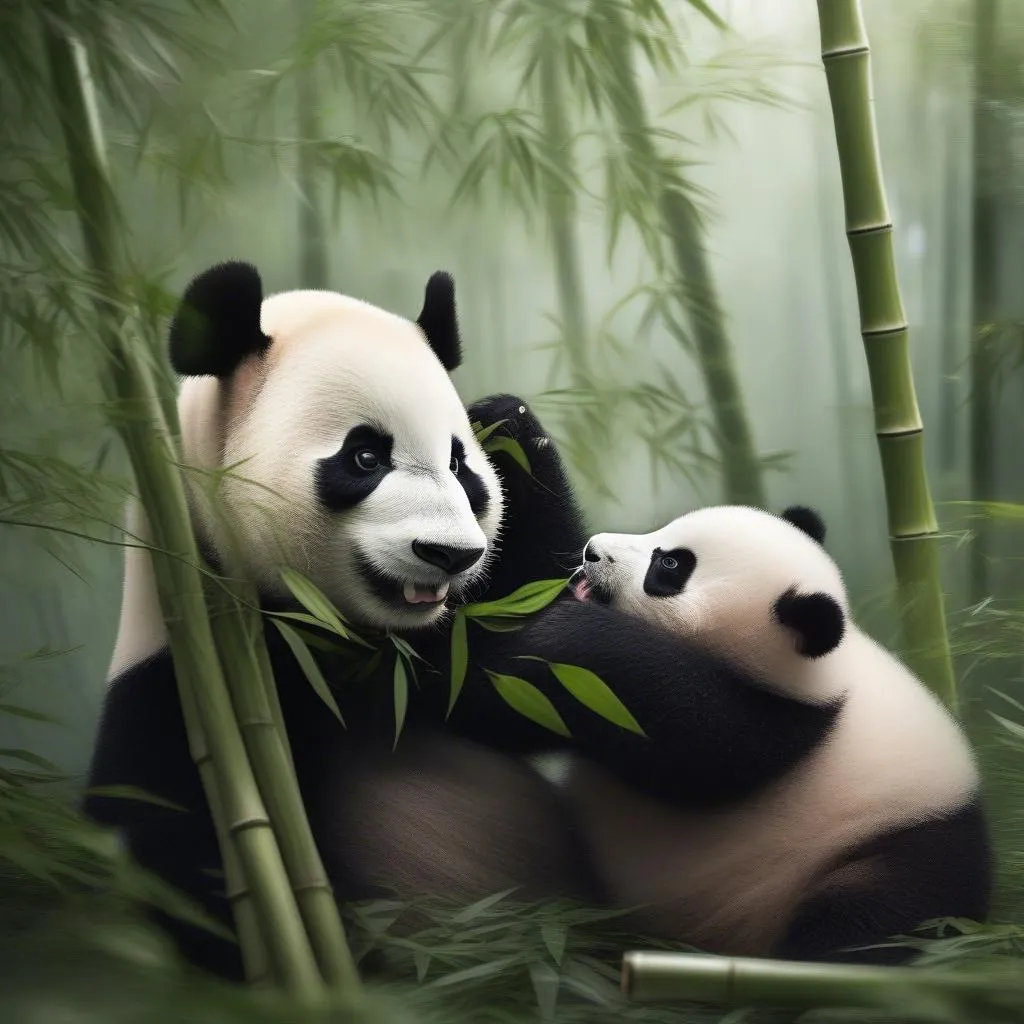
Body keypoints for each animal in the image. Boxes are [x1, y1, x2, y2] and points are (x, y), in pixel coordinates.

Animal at [83, 260, 696, 978]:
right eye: (366, 457)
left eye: (460, 465)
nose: (450, 554)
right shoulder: (186, 696)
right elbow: (178, 864)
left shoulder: (437, 657)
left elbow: (548, 650)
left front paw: (505, 420)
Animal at [495, 507, 991, 962]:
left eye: (669, 566)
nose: (592, 551)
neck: (819, 670)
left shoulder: (782, 723)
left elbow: (690, 748)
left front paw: (564, 634)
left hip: (901, 850)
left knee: (869, 921)